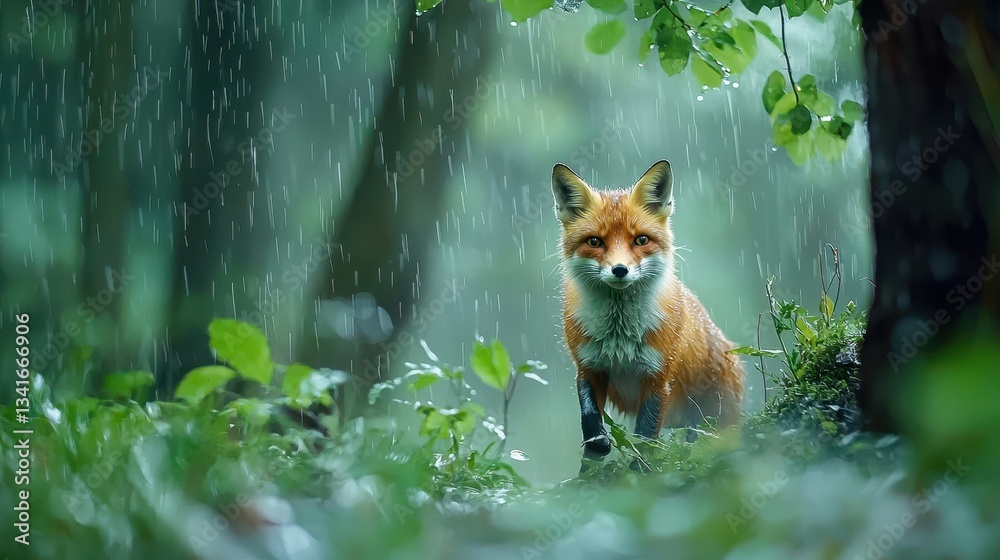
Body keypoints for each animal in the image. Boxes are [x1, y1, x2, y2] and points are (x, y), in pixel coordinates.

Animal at [551, 160, 745, 461]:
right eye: (594, 242)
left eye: (641, 240)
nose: (620, 270)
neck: (618, 334)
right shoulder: (588, 368)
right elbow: (590, 424)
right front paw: (594, 456)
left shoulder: (657, 376)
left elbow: (645, 438)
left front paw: (640, 469)